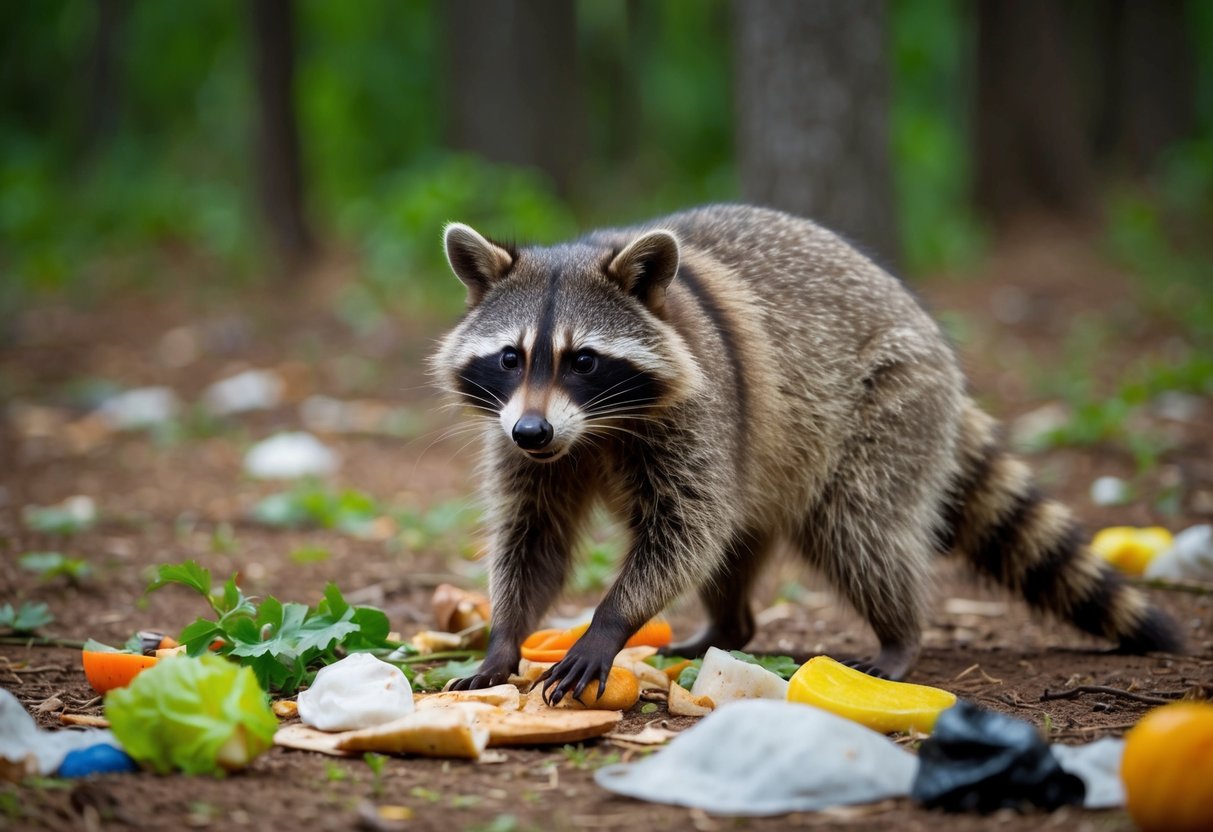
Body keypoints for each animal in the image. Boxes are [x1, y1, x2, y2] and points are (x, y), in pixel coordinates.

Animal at [433, 204, 1183, 702]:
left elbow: (684, 531)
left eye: (583, 360)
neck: (588, 429)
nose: (533, 433)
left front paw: (608, 621)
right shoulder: (516, 433)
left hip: (891, 404)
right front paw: (505, 637)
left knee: (857, 529)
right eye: (511, 356)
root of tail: (926, 330)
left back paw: (898, 633)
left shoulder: (702, 412)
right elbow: (535, 536)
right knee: (738, 549)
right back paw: (727, 623)